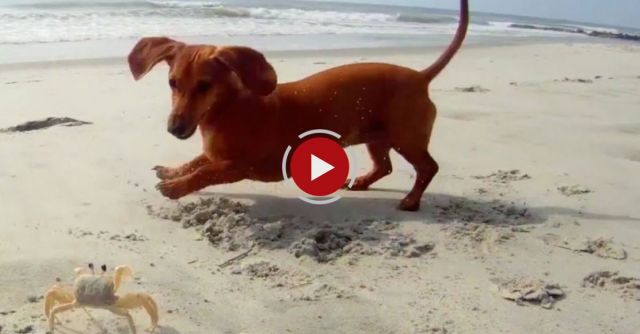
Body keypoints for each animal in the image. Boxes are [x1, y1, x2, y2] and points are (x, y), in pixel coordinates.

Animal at [130, 0, 470, 210]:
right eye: (172, 83)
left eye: (204, 86)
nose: (174, 128)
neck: (230, 108)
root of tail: (420, 77)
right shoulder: (214, 154)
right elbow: (195, 162)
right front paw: (172, 172)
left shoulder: (237, 165)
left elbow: (204, 173)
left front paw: (176, 187)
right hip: (377, 136)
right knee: (383, 166)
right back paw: (362, 182)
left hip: (406, 138)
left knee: (428, 168)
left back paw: (411, 201)